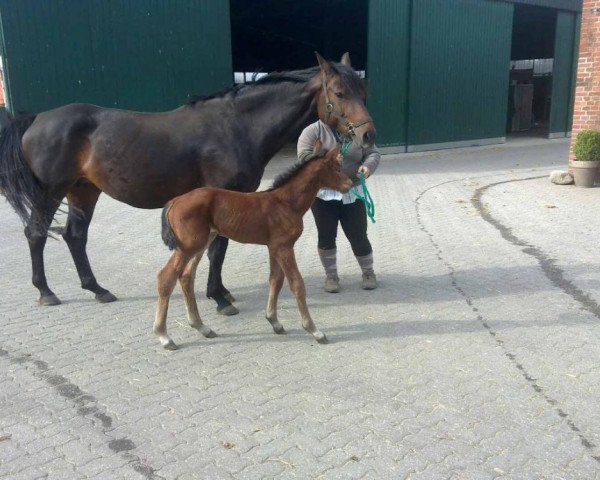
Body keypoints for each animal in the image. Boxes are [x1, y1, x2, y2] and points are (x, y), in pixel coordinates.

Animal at [0, 52, 376, 314]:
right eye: (340, 93)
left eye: (364, 91)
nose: (368, 136)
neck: (236, 126)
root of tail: (36, 118)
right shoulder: (224, 194)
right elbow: (217, 249)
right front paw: (219, 298)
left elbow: (219, 247)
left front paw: (220, 292)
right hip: (50, 192)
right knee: (36, 234)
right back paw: (46, 292)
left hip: (83, 190)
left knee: (75, 237)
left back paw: (97, 290)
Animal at [156, 142, 352, 348]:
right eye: (337, 168)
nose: (350, 184)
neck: (286, 202)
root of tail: (174, 201)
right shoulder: (284, 247)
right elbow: (297, 284)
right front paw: (315, 331)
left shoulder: (274, 247)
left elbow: (275, 280)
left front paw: (274, 322)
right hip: (188, 246)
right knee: (166, 277)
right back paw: (164, 336)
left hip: (201, 243)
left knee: (186, 276)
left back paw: (202, 327)